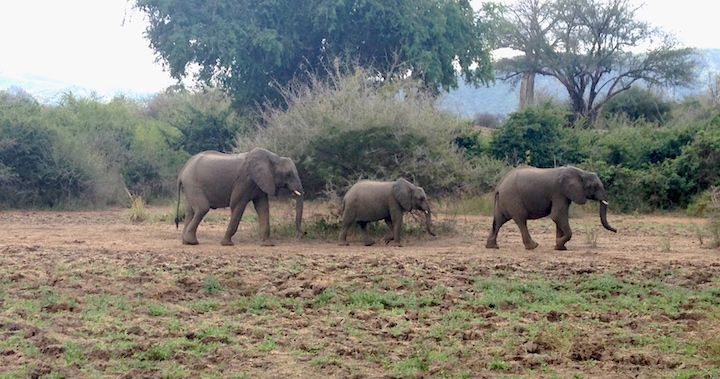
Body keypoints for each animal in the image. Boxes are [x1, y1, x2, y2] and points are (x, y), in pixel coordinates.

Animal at [175, 147, 304, 248]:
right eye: (288, 174)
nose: (305, 232)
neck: (273, 157)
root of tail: (182, 171)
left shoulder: (260, 182)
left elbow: (263, 208)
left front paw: (268, 245)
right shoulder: (244, 180)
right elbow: (237, 205)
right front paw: (227, 244)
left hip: (189, 186)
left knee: (189, 211)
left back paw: (185, 241)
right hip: (192, 183)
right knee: (202, 208)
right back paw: (191, 242)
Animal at [486, 165, 616, 251]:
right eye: (594, 186)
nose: (616, 231)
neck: (580, 172)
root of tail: (499, 185)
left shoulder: (564, 194)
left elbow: (560, 218)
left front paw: (560, 247)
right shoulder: (559, 192)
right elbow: (557, 215)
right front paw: (559, 244)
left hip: (504, 199)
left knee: (499, 220)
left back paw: (492, 246)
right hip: (513, 197)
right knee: (521, 219)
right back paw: (533, 246)